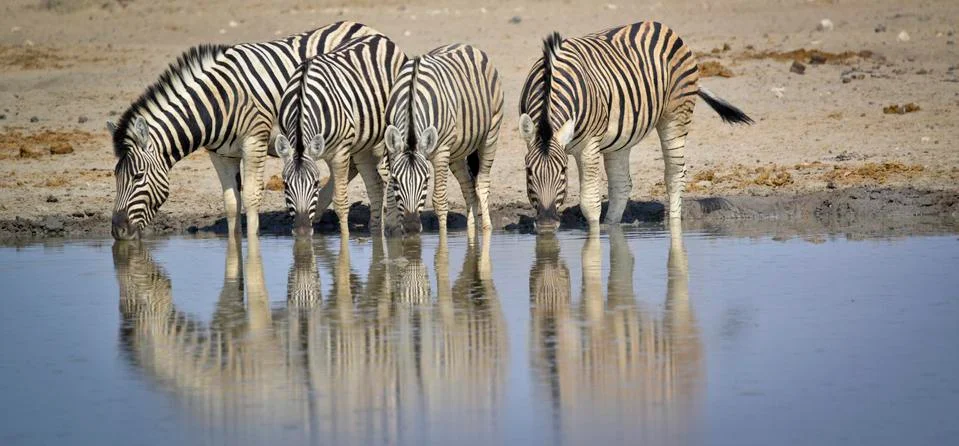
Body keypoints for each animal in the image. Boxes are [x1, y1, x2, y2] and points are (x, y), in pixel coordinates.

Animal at [108, 21, 382, 240]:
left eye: (137, 176)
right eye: (116, 176)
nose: (117, 232)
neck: (217, 101)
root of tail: (364, 27)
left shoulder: (254, 141)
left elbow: (250, 196)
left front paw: (253, 246)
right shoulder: (220, 154)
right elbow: (231, 203)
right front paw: (235, 244)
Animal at [274, 34, 407, 237]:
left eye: (315, 184)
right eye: (285, 184)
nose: (302, 231)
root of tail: (381, 37)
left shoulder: (340, 151)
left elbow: (341, 202)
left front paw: (344, 240)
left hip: (389, 132)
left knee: (391, 176)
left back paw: (393, 228)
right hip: (363, 142)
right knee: (375, 184)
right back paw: (375, 230)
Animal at [382, 44, 503, 237]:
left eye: (426, 180)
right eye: (395, 180)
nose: (411, 227)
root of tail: (465, 45)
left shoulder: (441, 152)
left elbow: (439, 200)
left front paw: (443, 240)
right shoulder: (392, 150)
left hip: (490, 133)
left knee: (482, 182)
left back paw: (486, 229)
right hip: (456, 152)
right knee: (468, 186)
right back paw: (472, 231)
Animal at [518, 22, 753, 232]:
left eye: (563, 171)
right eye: (528, 171)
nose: (547, 225)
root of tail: (662, 26)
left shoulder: (589, 146)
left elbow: (590, 203)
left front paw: (594, 236)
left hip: (676, 115)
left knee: (675, 174)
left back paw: (674, 225)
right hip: (622, 136)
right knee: (622, 185)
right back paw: (612, 226)